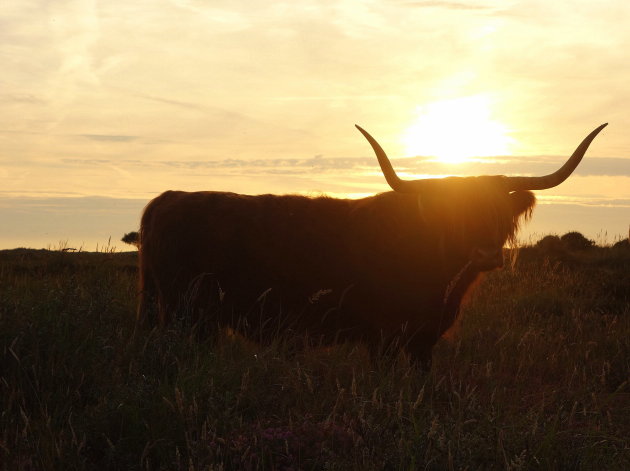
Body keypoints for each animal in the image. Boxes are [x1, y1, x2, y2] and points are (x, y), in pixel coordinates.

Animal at [137, 123, 608, 366]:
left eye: (499, 213)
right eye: (455, 215)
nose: (487, 255)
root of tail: (170, 196)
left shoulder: (423, 340)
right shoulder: (382, 336)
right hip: (186, 315)